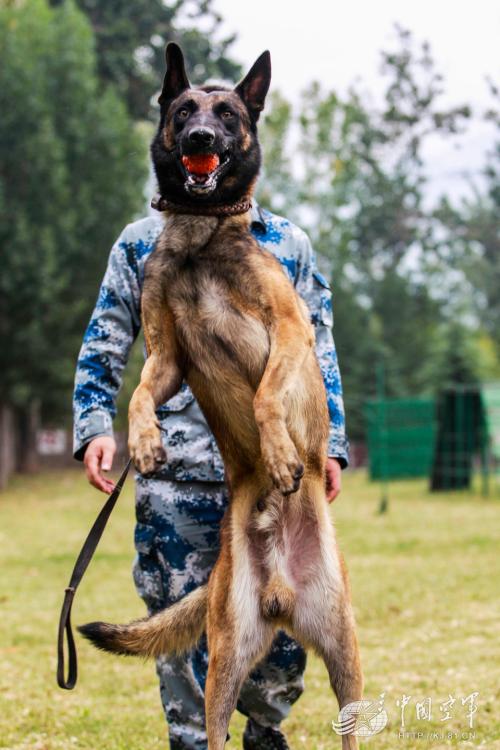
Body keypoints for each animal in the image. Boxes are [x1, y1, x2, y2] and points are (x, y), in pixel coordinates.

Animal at [81, 44, 364, 748]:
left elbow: (266, 397)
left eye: (228, 114)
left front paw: (283, 453)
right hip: (226, 660)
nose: (201, 139)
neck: (200, 237)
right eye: (184, 110)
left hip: (345, 653)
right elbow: (137, 397)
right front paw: (145, 442)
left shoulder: (290, 329)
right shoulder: (167, 357)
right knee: (211, 720)